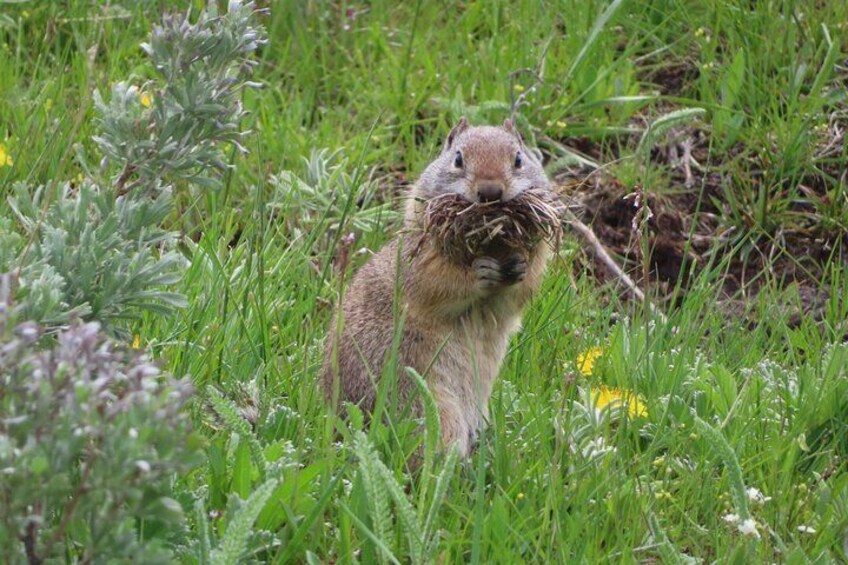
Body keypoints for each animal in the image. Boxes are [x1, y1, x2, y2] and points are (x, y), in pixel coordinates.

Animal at [322, 117, 556, 456]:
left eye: (518, 158)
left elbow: (518, 292)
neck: (491, 246)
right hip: (428, 407)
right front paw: (479, 274)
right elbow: (440, 284)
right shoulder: (420, 263)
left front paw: (518, 267)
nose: (490, 191)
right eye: (457, 158)